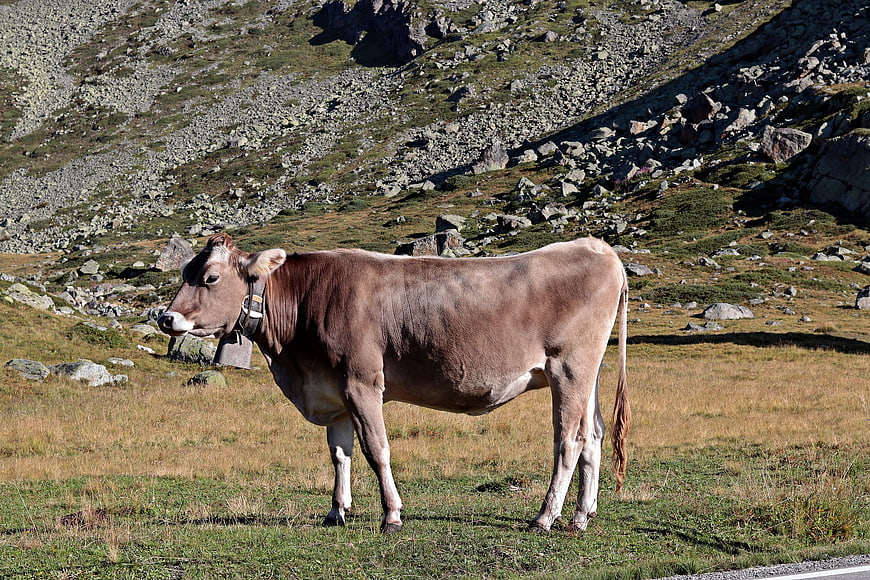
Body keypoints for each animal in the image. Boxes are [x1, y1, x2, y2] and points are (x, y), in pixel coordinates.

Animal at [157, 233, 630, 533]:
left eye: (210, 277)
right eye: (184, 271)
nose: (166, 318)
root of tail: (597, 247)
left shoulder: (361, 382)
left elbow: (376, 450)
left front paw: (392, 515)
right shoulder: (332, 390)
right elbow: (340, 454)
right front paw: (336, 512)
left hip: (568, 367)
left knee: (568, 439)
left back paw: (545, 517)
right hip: (587, 374)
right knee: (593, 436)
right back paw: (581, 516)